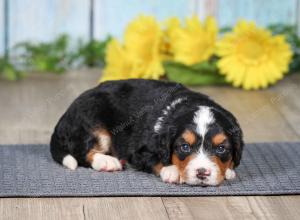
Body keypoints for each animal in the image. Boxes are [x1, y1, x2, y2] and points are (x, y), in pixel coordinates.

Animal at [50, 79, 243, 186]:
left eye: (221, 149)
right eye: (185, 147)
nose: (202, 173)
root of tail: (65, 115)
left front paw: (228, 171)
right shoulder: (139, 151)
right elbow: (156, 159)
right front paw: (172, 171)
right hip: (94, 123)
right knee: (82, 152)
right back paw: (107, 162)